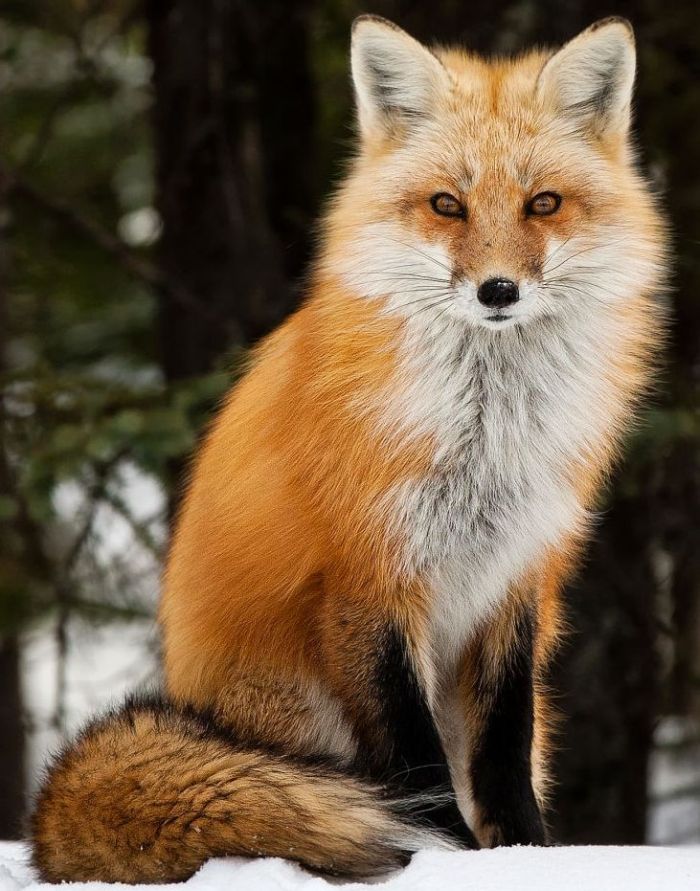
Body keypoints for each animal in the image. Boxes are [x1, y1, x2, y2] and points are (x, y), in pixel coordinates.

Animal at [31, 14, 666, 885]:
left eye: (543, 203)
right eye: (447, 205)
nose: (498, 290)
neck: (483, 437)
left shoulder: (517, 579)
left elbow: (501, 751)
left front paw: (528, 856)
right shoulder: (368, 578)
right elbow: (417, 763)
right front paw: (444, 857)